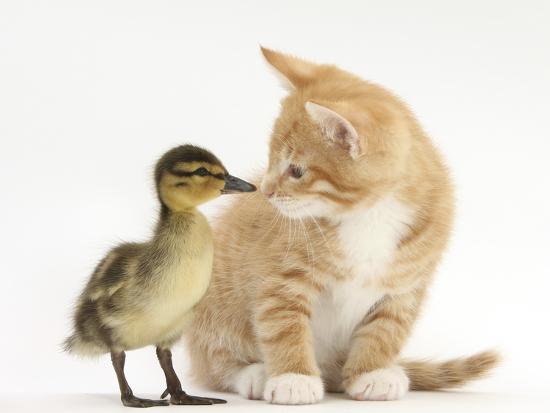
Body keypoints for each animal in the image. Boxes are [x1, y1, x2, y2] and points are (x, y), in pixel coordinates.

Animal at [187, 47, 500, 402]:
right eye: (270, 159)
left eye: (296, 171)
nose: (265, 191)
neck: (369, 214)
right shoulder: (280, 279)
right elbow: (283, 325)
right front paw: (293, 377)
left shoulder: (406, 283)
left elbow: (386, 328)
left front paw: (372, 372)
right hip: (213, 310)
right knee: (215, 364)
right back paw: (254, 374)